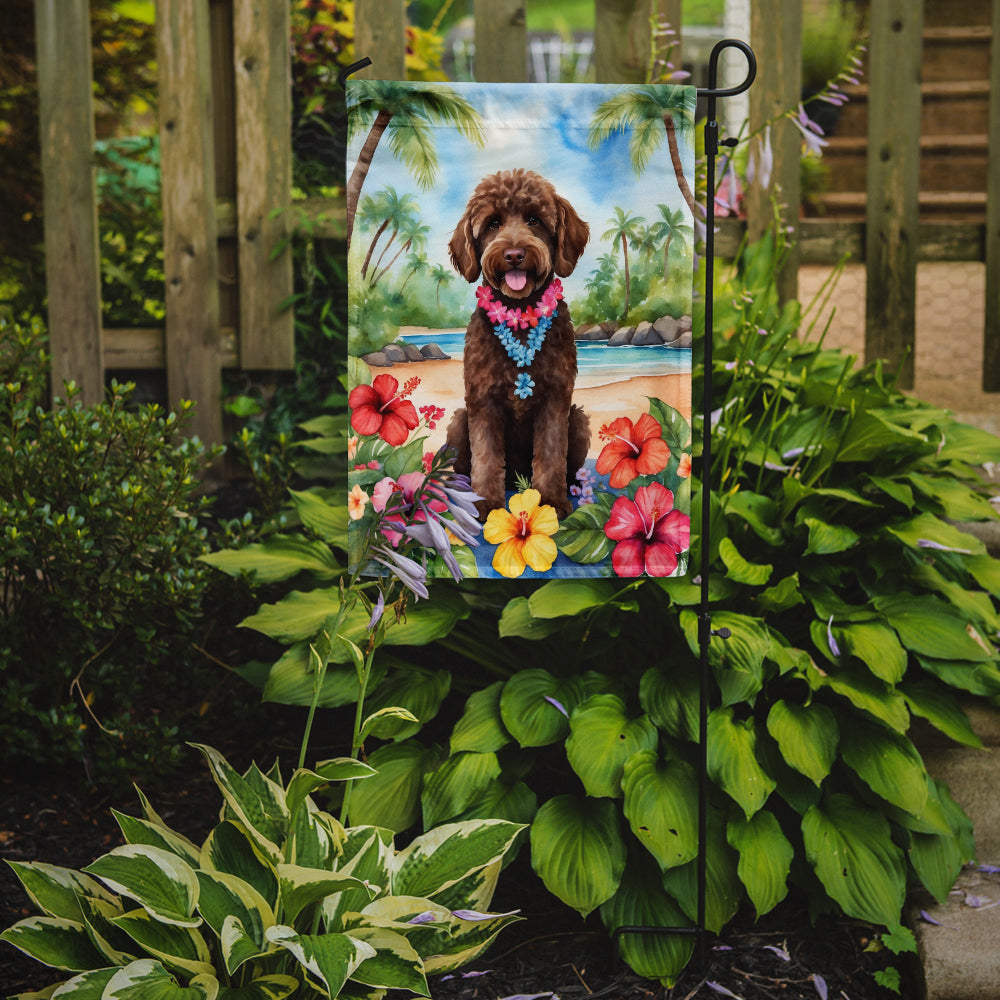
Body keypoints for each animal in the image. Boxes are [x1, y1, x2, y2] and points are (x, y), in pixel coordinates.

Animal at [448, 167, 592, 520]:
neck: (520, 314)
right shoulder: (482, 401)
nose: (514, 254)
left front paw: (551, 500)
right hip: (458, 421)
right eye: (493, 223)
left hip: (578, 420)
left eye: (534, 219)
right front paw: (485, 503)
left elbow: (552, 454)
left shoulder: (556, 400)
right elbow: (486, 457)